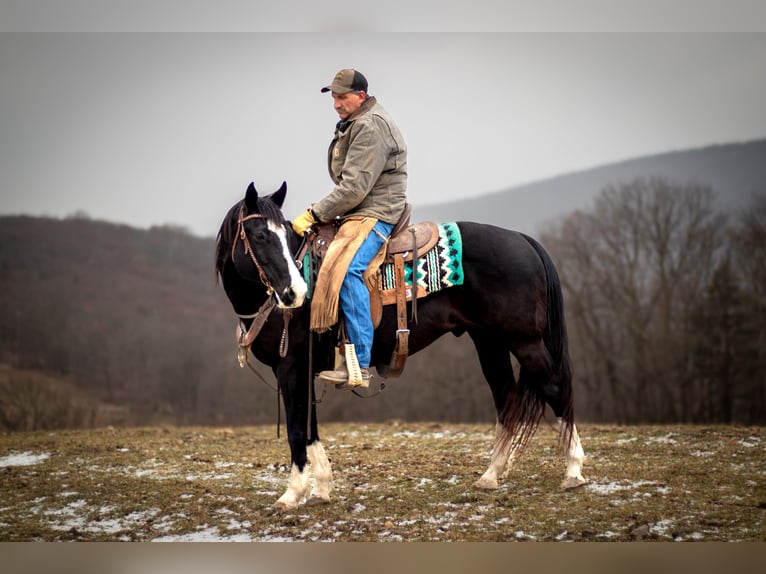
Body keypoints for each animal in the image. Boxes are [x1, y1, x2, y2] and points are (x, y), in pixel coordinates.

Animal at [216, 182, 588, 510]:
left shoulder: (291, 367)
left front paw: (292, 495)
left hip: (525, 341)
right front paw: (321, 487)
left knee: (554, 387)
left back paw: (573, 471)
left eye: (281, 234)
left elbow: (297, 429)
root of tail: (522, 239)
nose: (295, 292)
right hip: (489, 342)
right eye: (260, 236)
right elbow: (311, 428)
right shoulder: (304, 370)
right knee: (506, 399)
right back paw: (490, 475)